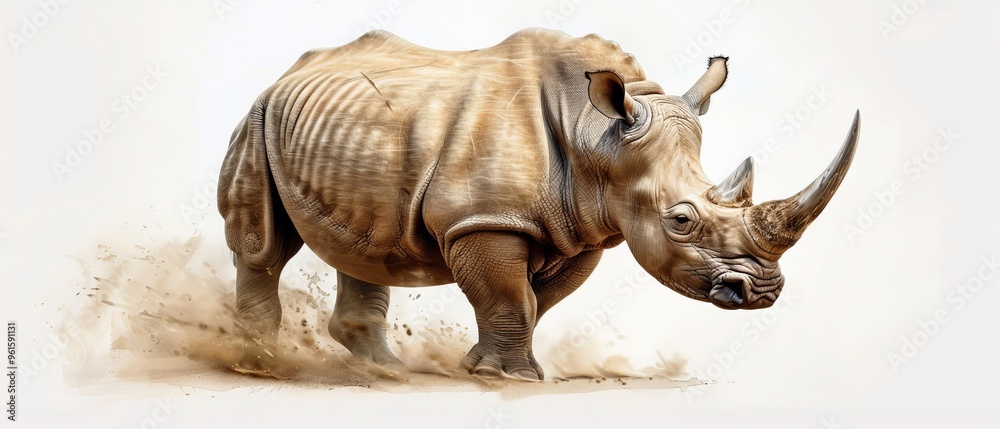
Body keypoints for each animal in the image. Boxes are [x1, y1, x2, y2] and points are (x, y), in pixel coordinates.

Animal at [218, 28, 860, 380]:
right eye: (681, 221)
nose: (764, 294)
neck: (598, 137)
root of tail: (292, 69)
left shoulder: (582, 228)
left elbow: (534, 303)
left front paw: (483, 368)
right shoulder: (483, 222)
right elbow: (509, 298)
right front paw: (514, 378)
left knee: (366, 245)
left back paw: (384, 371)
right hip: (257, 117)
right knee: (262, 248)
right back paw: (258, 361)